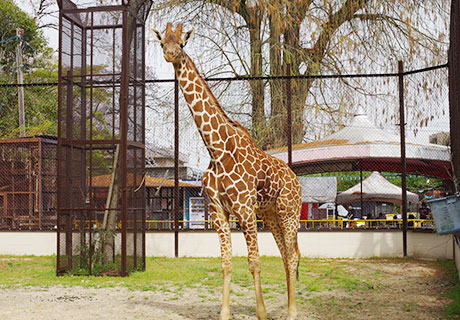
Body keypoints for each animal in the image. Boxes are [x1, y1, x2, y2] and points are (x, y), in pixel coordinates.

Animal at [151, 23, 302, 320]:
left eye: (182, 44)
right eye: (162, 42)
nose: (170, 54)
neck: (217, 150)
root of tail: (297, 180)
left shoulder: (244, 209)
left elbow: (254, 262)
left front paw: (262, 313)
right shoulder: (219, 211)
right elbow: (226, 262)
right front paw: (224, 313)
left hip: (289, 213)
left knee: (292, 256)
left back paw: (292, 312)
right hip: (271, 215)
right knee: (285, 254)